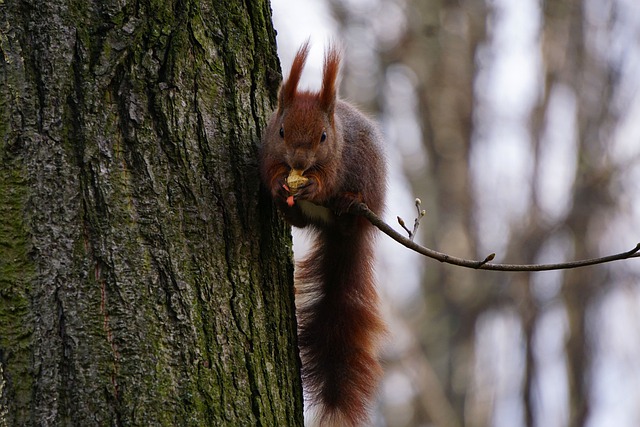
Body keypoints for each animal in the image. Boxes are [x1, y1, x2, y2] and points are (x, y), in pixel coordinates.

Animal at [258, 41, 384, 427]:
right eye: (281, 131)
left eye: (324, 137)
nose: (299, 163)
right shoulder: (267, 151)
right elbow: (268, 169)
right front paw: (278, 183)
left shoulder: (337, 159)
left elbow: (327, 177)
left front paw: (313, 184)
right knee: (302, 223)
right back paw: (290, 211)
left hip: (367, 193)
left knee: (349, 216)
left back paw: (346, 204)